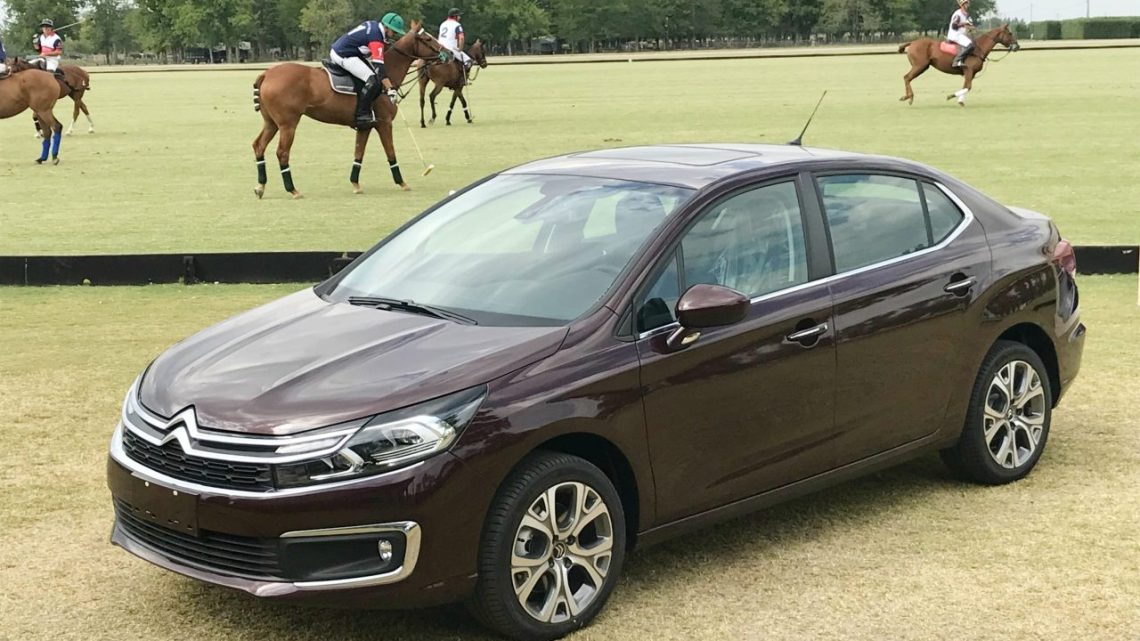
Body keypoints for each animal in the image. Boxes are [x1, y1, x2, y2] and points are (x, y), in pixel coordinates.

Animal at [251, 23, 448, 199]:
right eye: (428, 38)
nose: (449, 53)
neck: (388, 74)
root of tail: (266, 74)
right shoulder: (384, 123)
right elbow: (390, 152)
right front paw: (402, 183)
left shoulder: (365, 126)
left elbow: (358, 154)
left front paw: (355, 184)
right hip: (288, 124)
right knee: (282, 152)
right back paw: (292, 190)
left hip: (271, 122)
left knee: (258, 145)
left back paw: (260, 187)